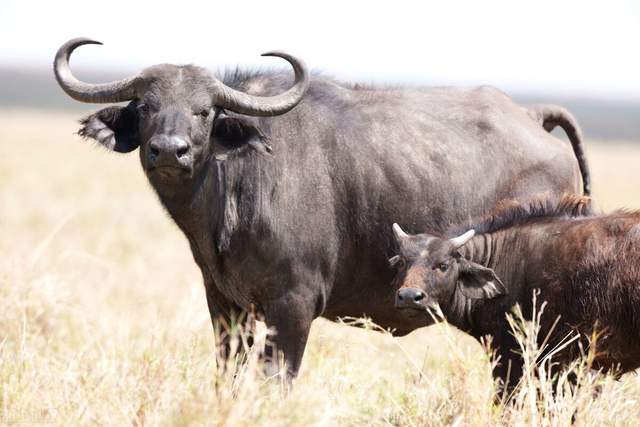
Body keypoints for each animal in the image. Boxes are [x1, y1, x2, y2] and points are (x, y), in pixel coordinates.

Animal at [53, 36, 592, 378]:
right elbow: (228, 374)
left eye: (204, 111)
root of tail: (532, 116)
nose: (170, 150)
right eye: (146, 107)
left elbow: (276, 380)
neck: (236, 192)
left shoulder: (293, 307)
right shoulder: (224, 304)